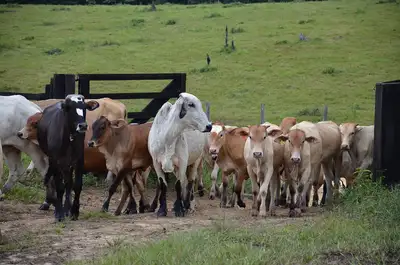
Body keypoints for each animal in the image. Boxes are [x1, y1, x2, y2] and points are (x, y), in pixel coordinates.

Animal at [36, 93, 99, 221]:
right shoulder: (56, 161)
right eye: (69, 107)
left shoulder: (79, 161)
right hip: (54, 161)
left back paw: (67, 207)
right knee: (58, 182)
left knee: (69, 183)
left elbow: (77, 185)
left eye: (84, 107)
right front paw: (59, 213)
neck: (69, 137)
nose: (82, 126)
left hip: (68, 164)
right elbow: (59, 186)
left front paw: (74, 211)